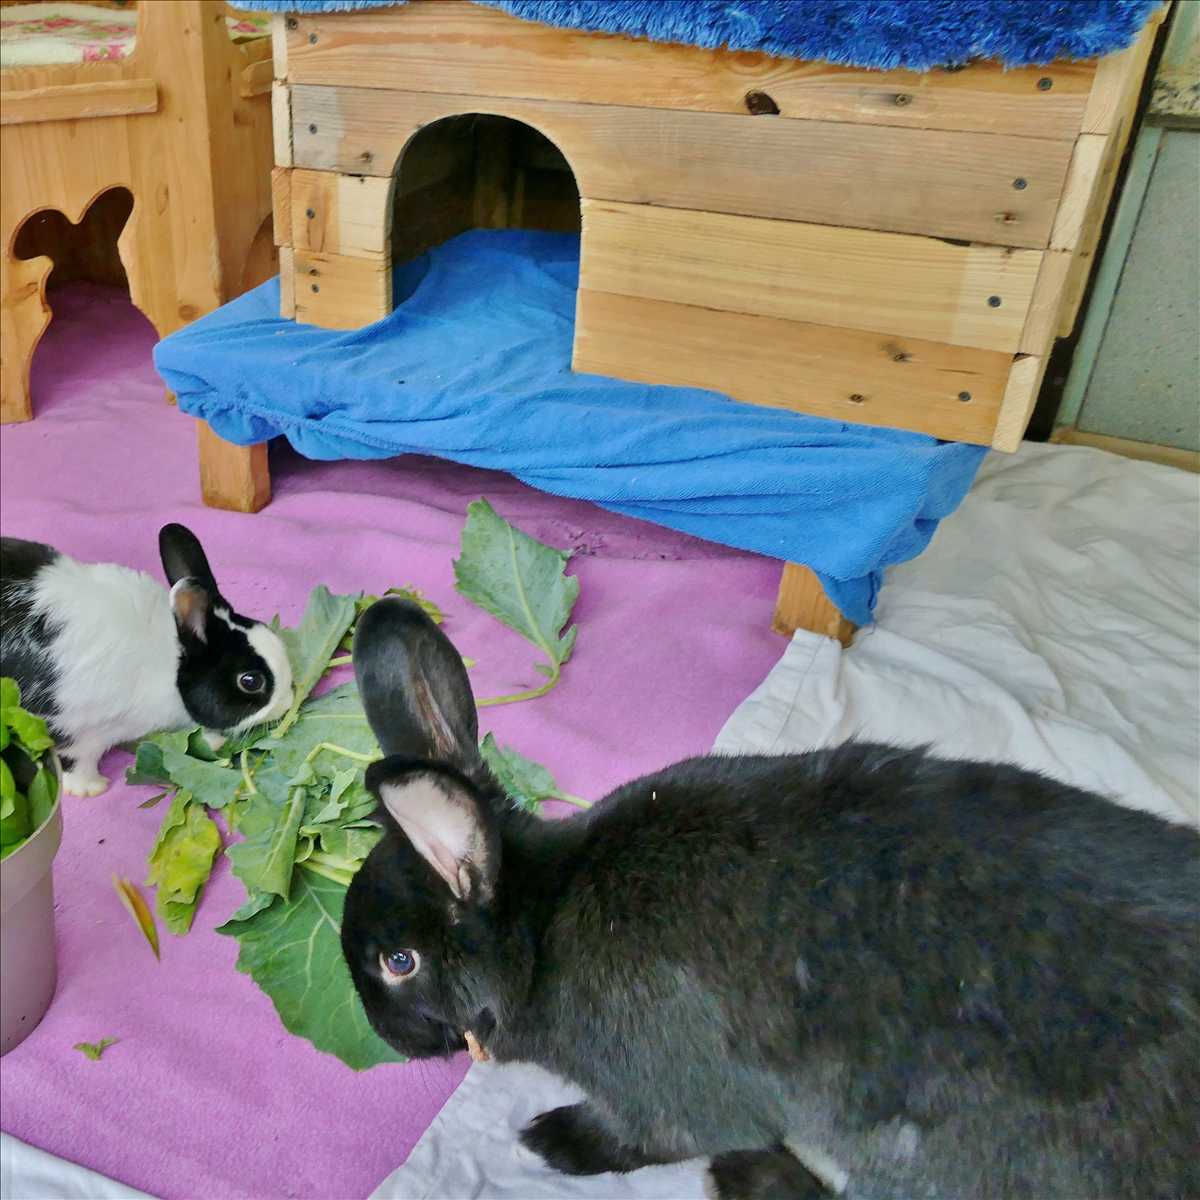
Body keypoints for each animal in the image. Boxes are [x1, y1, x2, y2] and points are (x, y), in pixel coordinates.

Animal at [0, 523, 293, 797]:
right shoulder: (72, 728)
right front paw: (91, 788)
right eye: (250, 681)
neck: (171, 664)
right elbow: (74, 760)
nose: (288, 703)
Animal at [341, 598, 1200, 1200]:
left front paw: (553, 1140)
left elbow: (647, 1137)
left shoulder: (669, 1098)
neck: (541, 930)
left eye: (397, 961)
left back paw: (750, 1174)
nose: (385, 1038)